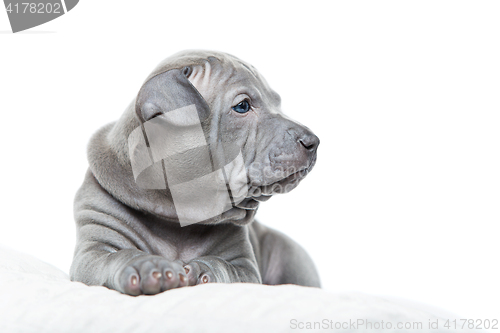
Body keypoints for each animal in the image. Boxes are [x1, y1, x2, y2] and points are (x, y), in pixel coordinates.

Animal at [70, 49, 320, 294]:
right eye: (242, 106)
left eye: (277, 102)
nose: (313, 142)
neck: (177, 218)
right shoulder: (93, 250)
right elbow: (116, 256)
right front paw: (145, 266)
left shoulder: (245, 267)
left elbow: (226, 267)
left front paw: (202, 269)